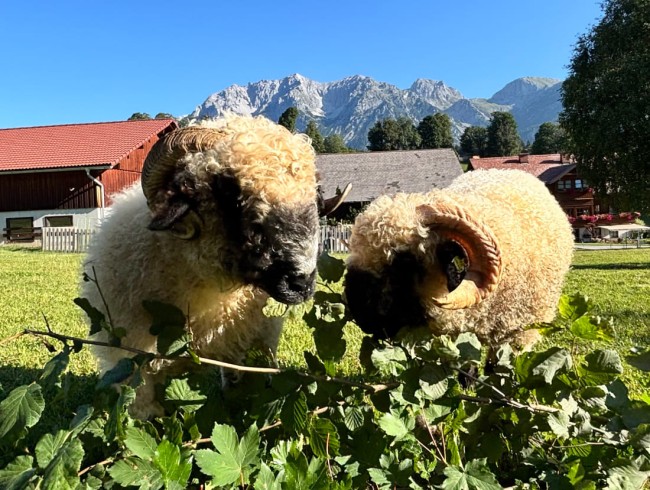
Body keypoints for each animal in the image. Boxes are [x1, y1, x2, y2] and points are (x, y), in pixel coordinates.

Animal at [81, 114, 347, 418]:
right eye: (227, 189)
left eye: (315, 192)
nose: (301, 282)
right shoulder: (133, 359)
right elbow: (142, 413)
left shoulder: (249, 344)